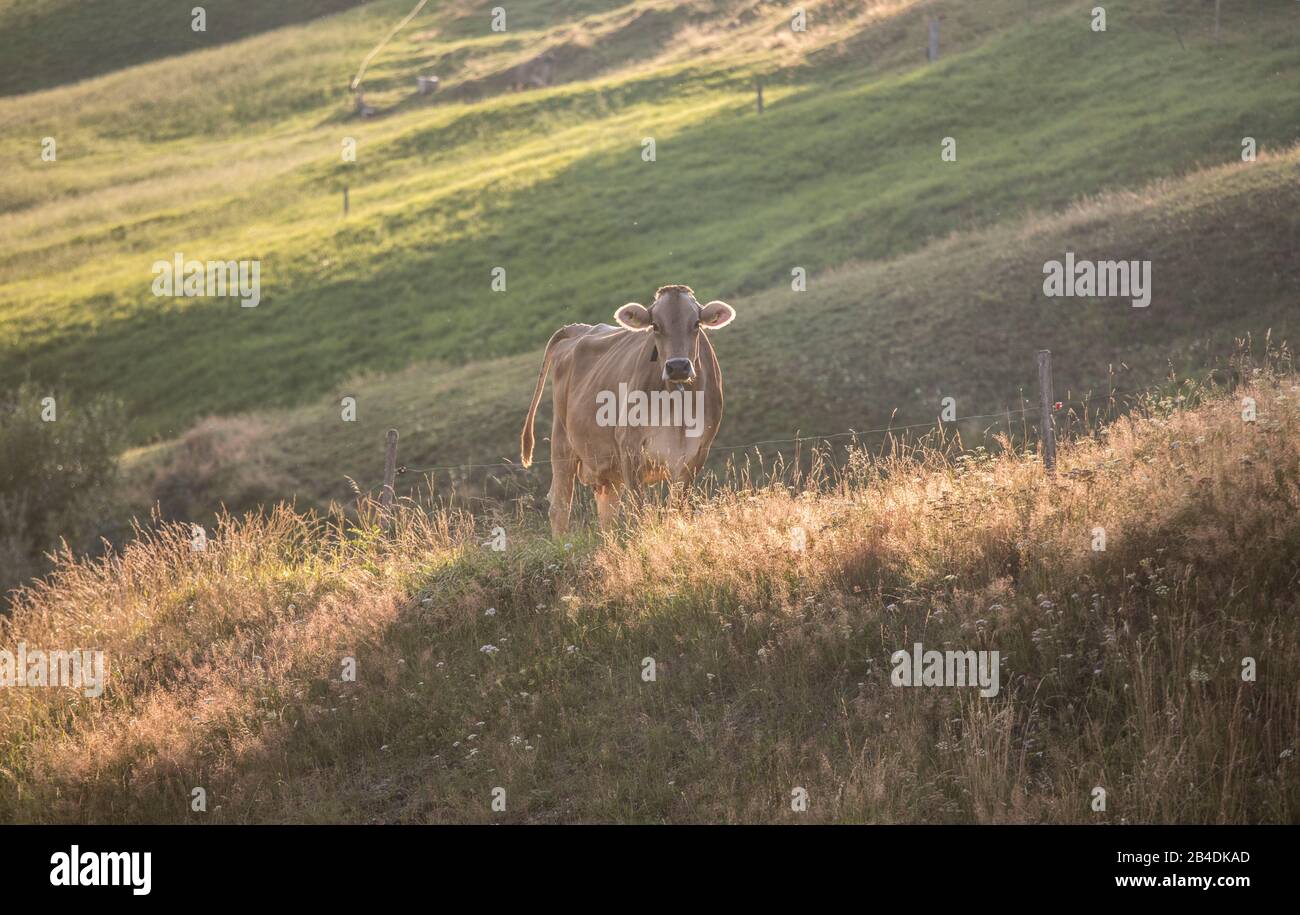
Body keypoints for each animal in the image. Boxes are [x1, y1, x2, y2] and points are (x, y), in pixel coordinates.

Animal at [522, 282, 738, 532]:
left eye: (696, 323)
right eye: (655, 325)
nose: (678, 367)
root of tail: (580, 328)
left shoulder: (695, 454)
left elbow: (676, 510)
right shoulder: (629, 447)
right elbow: (640, 512)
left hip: (606, 470)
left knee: (607, 514)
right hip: (562, 441)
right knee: (559, 506)